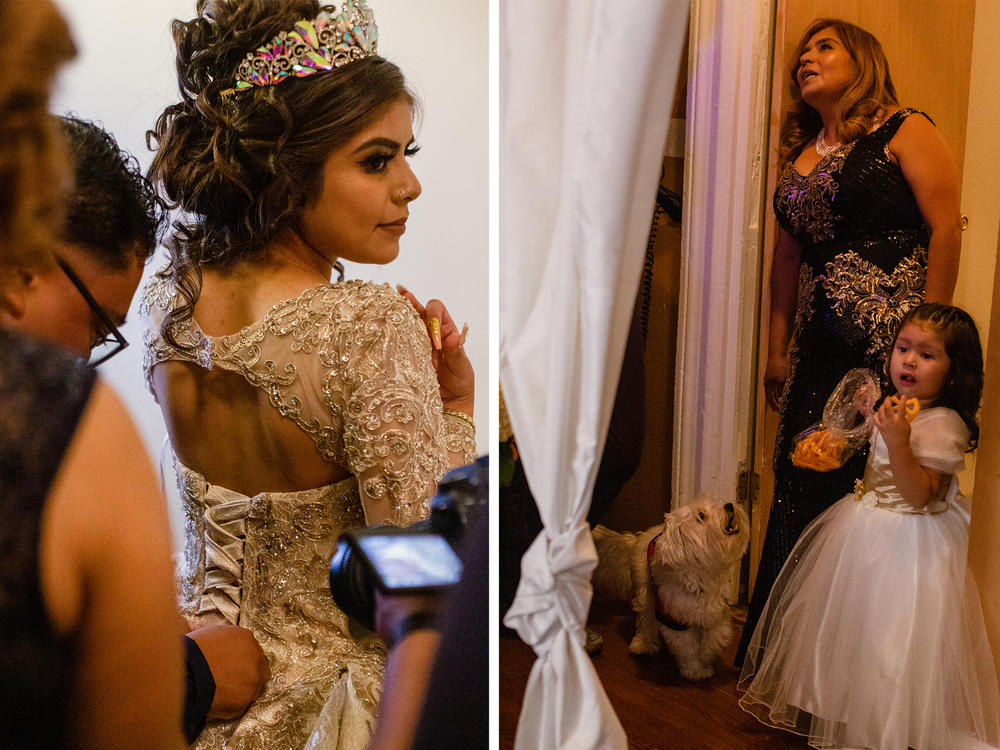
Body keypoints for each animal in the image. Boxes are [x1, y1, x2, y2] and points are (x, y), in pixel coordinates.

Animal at [588, 500, 748, 680]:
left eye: (715, 502)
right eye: (701, 515)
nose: (729, 505)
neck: (700, 576)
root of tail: (640, 537)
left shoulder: (716, 614)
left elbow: (715, 639)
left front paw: (706, 658)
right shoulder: (673, 621)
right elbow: (688, 649)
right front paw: (696, 670)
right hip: (646, 594)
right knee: (646, 620)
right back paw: (644, 644)